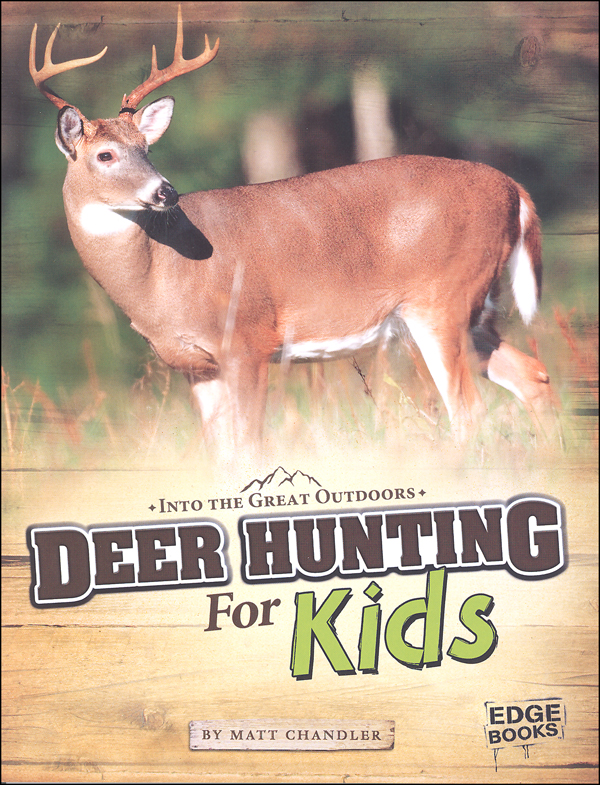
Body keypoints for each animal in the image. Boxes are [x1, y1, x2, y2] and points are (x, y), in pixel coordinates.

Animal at [29, 7, 555, 459]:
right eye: (106, 155)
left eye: (147, 148)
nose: (166, 191)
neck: (160, 279)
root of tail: (515, 189)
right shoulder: (196, 366)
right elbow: (221, 457)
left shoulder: (247, 340)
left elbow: (250, 447)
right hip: (475, 307)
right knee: (532, 374)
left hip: (442, 299)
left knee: (469, 411)